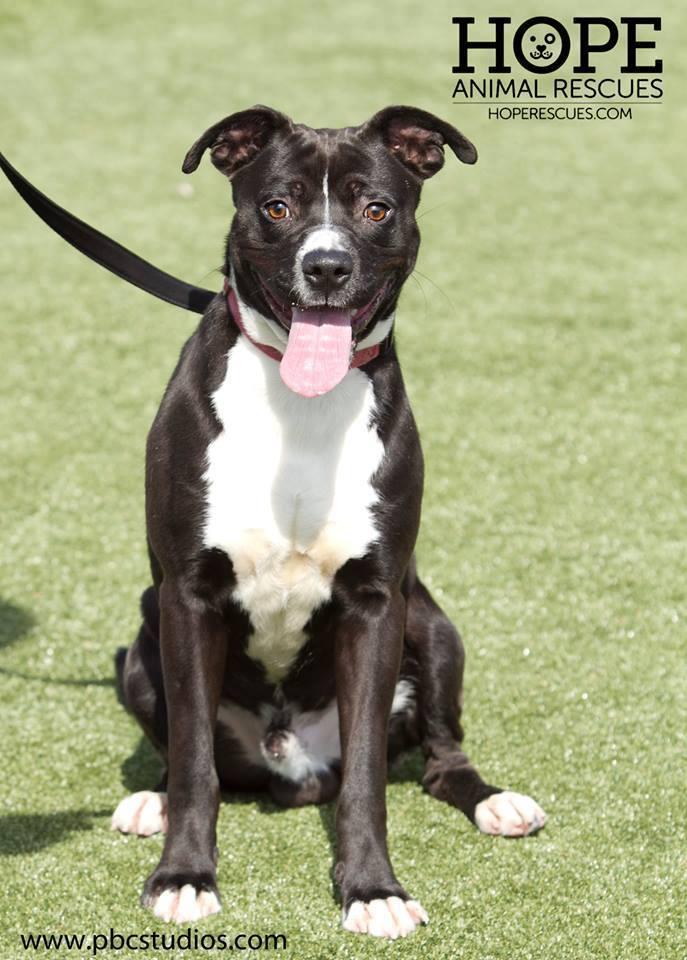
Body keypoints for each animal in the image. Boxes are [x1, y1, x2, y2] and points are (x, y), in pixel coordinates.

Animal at [110, 105, 544, 936]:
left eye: (374, 208)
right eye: (277, 205)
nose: (327, 267)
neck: (301, 403)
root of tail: (290, 766)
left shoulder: (376, 603)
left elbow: (369, 774)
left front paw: (373, 888)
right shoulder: (187, 596)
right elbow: (193, 763)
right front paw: (184, 875)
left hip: (434, 626)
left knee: (441, 760)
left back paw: (494, 802)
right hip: (140, 645)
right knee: (187, 754)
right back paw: (150, 800)